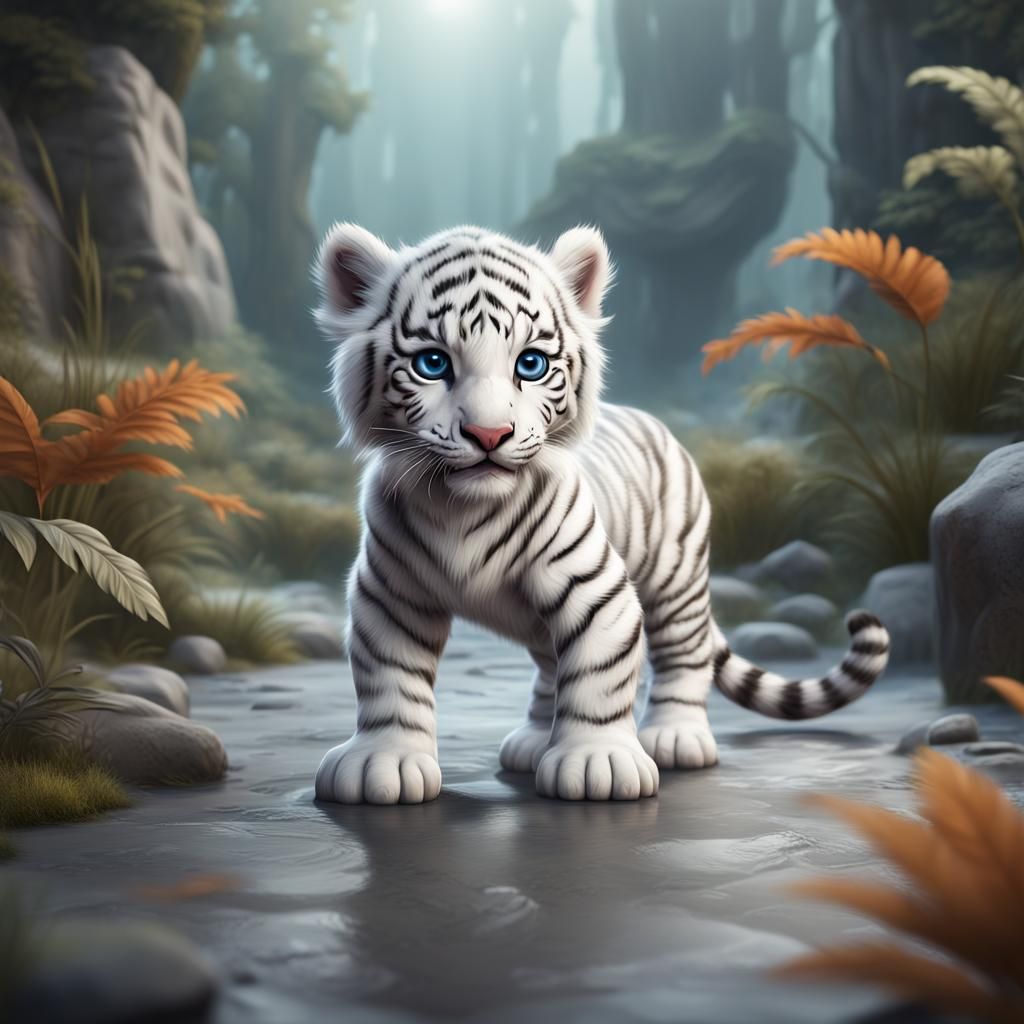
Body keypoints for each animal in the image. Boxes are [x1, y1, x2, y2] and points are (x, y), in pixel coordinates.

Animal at [311, 222, 890, 804]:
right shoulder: (390, 593)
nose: (489, 435)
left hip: (676, 578)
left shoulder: (596, 588)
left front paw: (598, 763)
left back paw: (676, 737)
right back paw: (534, 739)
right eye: (432, 363)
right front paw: (384, 762)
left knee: (683, 653)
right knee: (552, 665)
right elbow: (389, 679)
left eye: (531, 364)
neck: (466, 510)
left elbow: (600, 672)